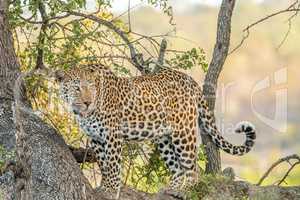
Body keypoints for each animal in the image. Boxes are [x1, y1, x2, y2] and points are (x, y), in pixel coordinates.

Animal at [54, 63, 255, 198]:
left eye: (91, 86)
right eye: (77, 88)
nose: (87, 102)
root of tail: (189, 80)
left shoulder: (112, 136)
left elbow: (112, 164)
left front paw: (111, 190)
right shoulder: (96, 138)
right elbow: (103, 164)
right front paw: (104, 187)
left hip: (183, 132)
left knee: (192, 167)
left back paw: (185, 190)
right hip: (163, 138)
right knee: (176, 167)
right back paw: (171, 188)